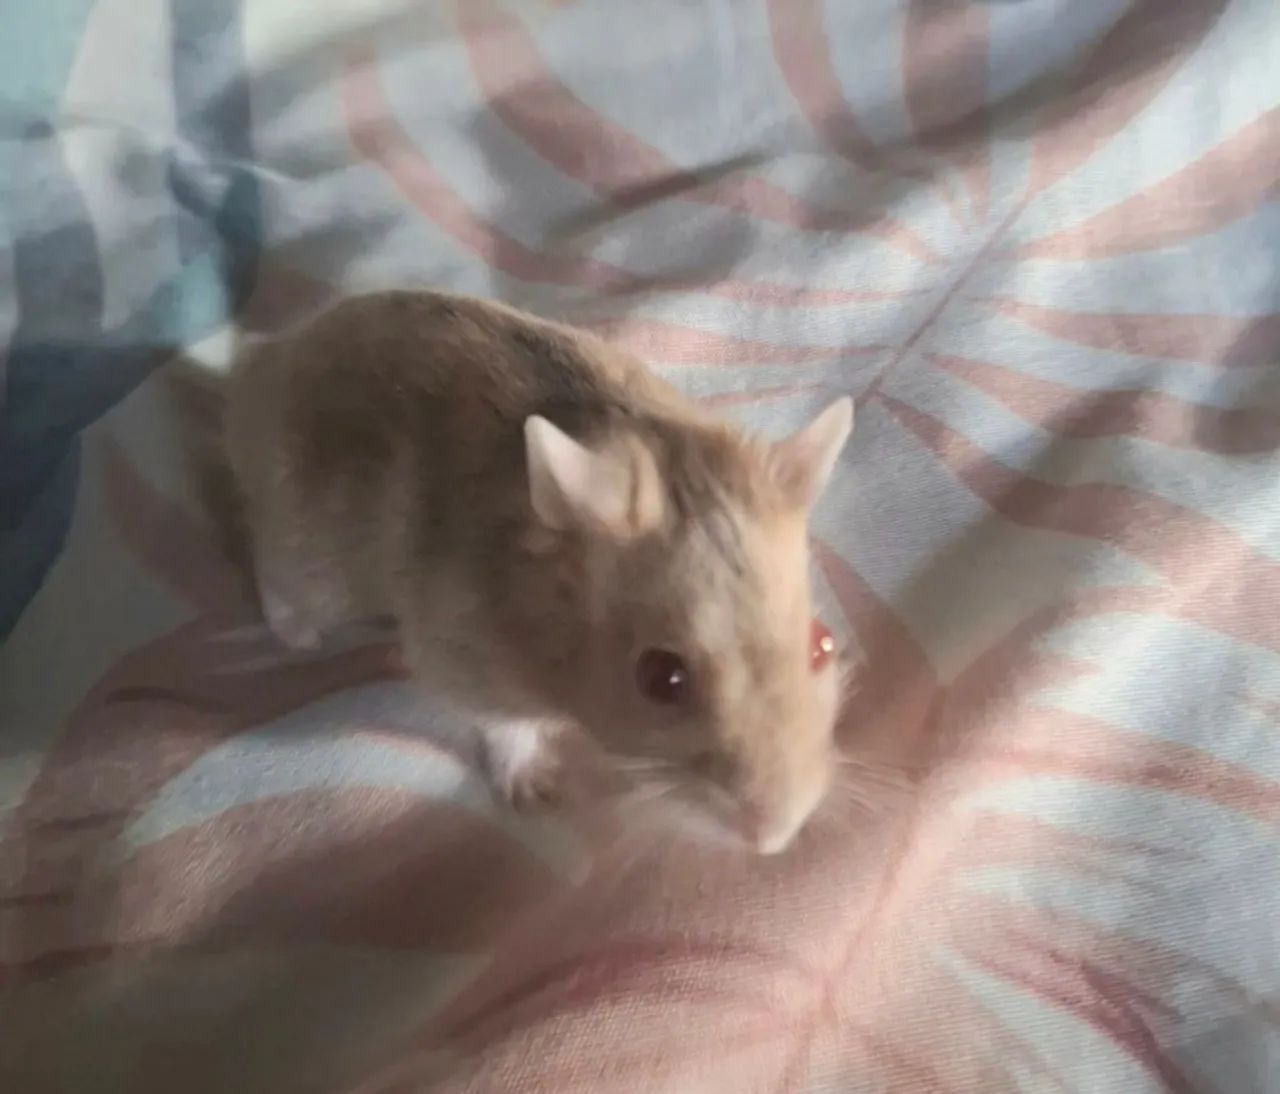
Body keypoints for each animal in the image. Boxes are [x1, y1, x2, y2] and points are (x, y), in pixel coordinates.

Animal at [224, 290, 852, 854]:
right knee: (271, 570)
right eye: (661, 678)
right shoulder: (462, 655)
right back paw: (300, 636)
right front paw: (540, 795)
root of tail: (268, 359)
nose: (774, 840)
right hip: (308, 549)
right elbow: (506, 727)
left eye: (823, 644)